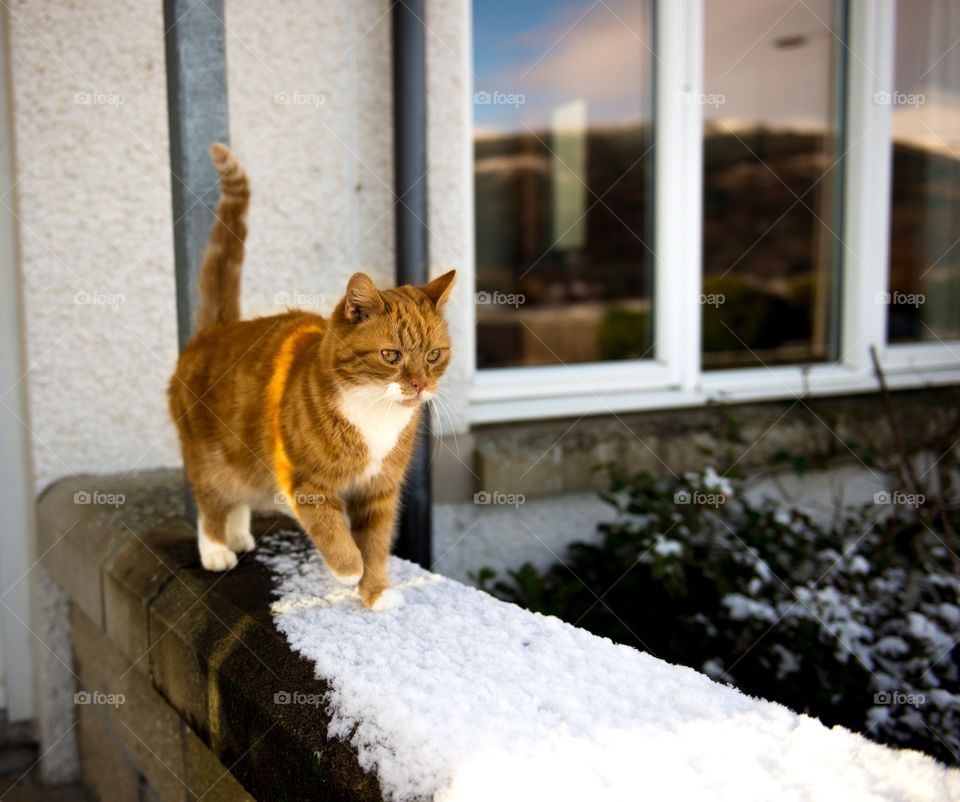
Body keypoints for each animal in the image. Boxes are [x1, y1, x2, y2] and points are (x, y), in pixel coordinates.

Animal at [168, 144, 454, 608]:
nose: (419, 384)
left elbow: (376, 543)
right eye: (391, 355)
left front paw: (375, 593)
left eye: (433, 355)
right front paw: (348, 570)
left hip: (244, 463)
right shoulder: (304, 481)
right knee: (210, 500)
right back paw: (216, 549)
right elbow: (333, 532)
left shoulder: (380, 490)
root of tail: (216, 330)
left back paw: (238, 535)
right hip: (210, 458)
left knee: (239, 500)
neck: (374, 414)